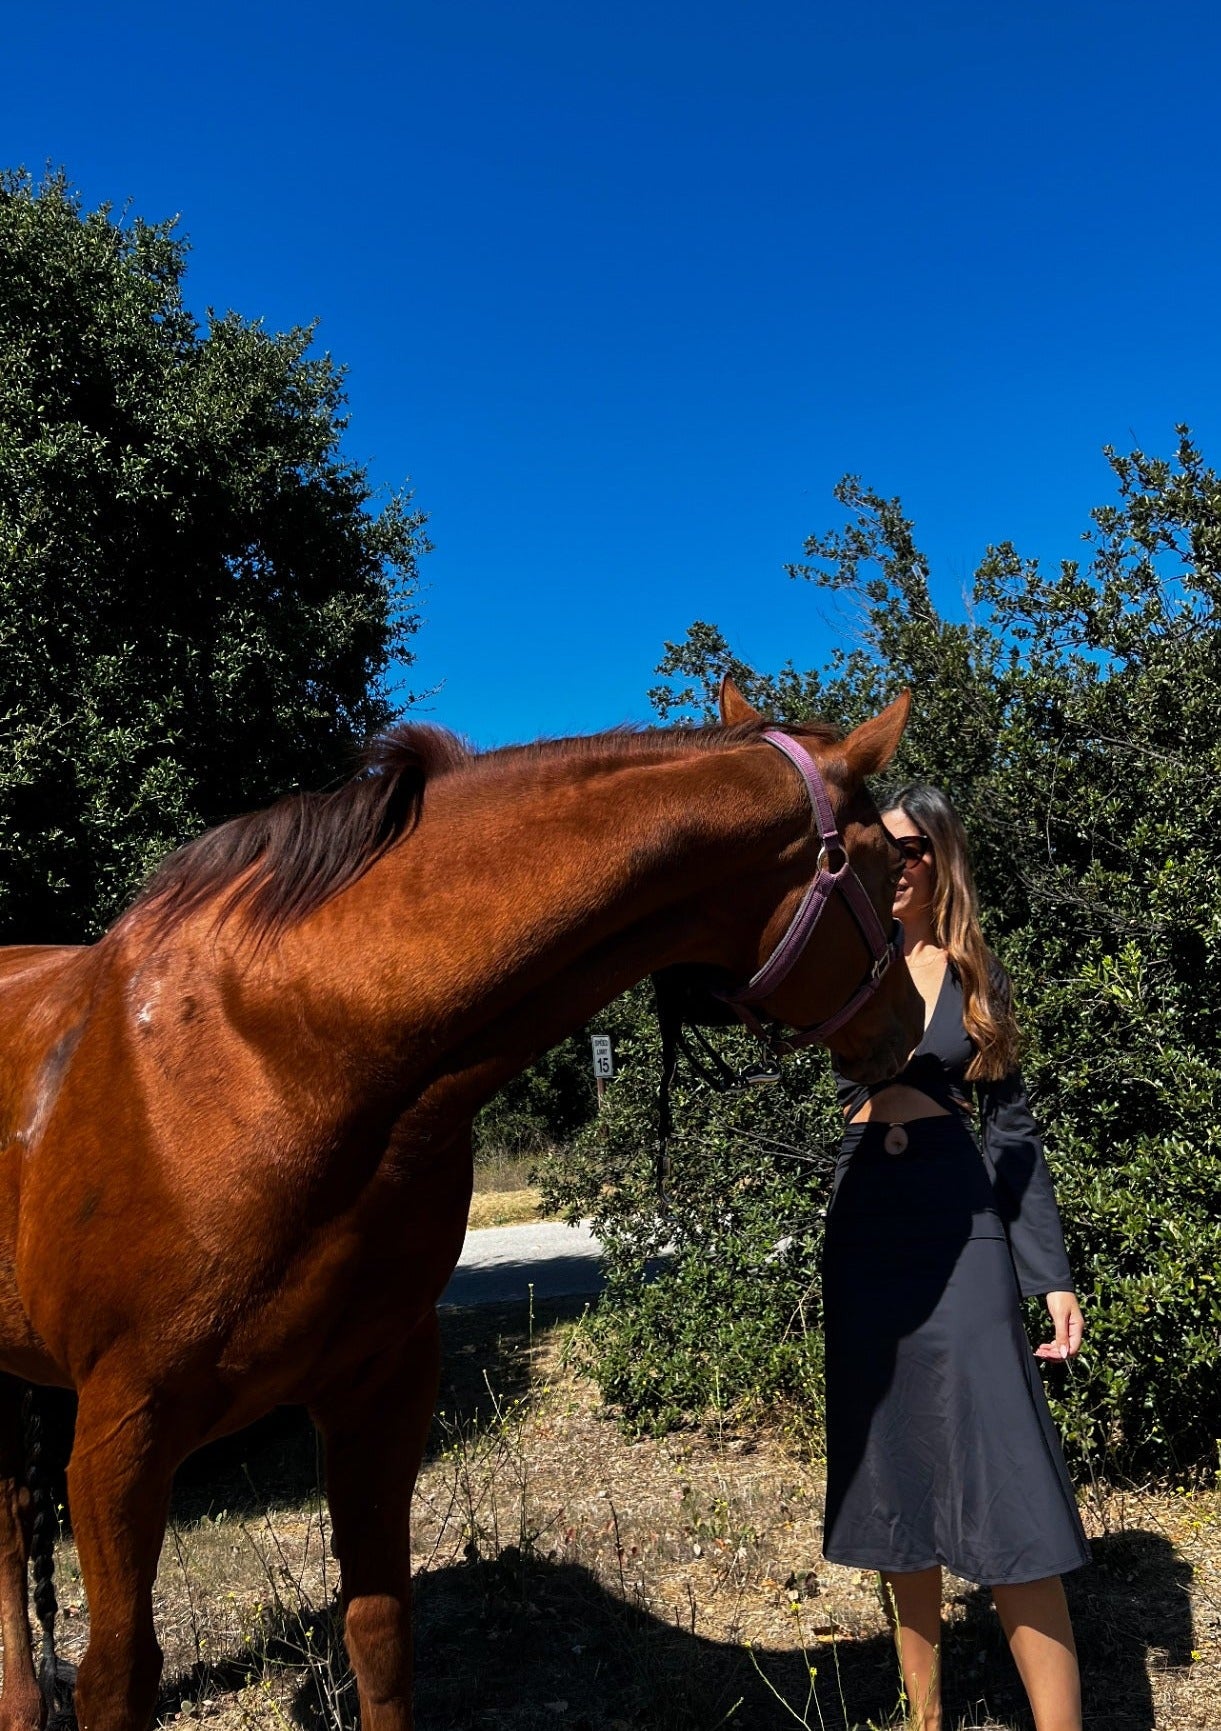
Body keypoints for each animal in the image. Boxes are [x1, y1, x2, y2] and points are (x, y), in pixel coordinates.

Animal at [0, 678, 921, 1731]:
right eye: (889, 866)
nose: (908, 1027)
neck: (280, 1059)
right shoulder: (120, 1437)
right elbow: (118, 1675)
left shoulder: (380, 1390)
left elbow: (378, 1631)